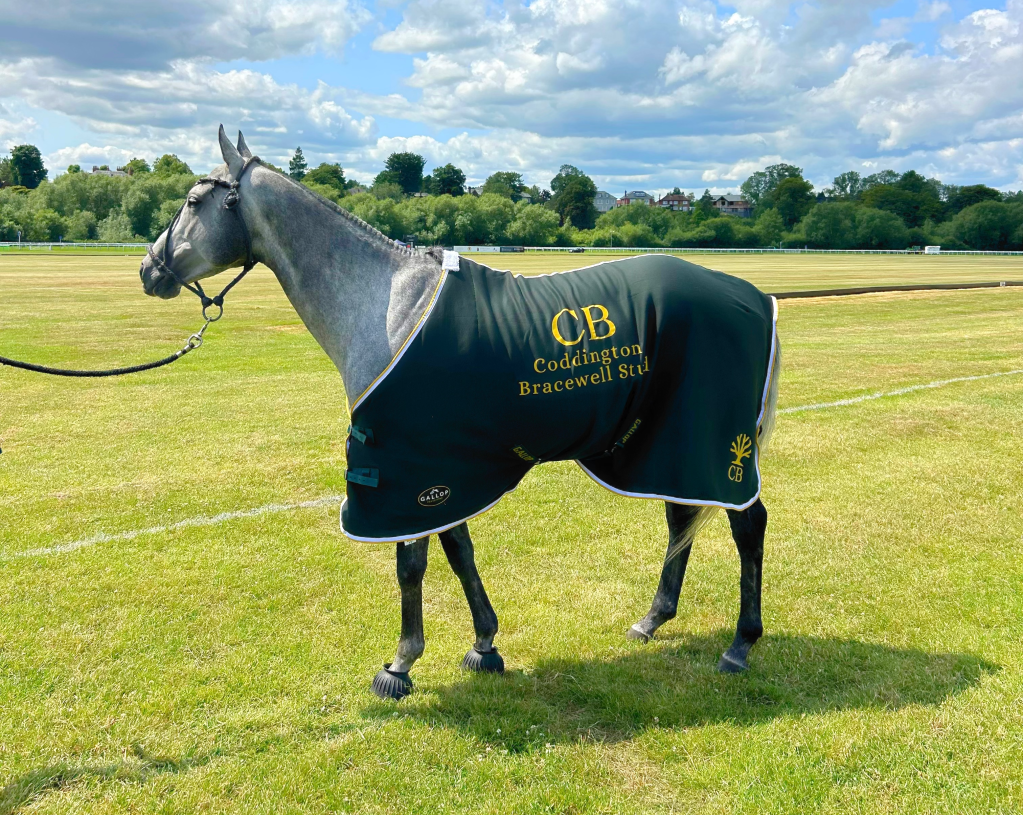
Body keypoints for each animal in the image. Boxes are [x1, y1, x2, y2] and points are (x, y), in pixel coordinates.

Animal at [140, 127, 781, 700]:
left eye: (194, 202)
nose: (149, 269)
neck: (388, 305)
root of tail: (755, 295)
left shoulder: (403, 469)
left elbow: (412, 563)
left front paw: (400, 664)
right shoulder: (441, 470)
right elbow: (457, 552)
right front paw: (484, 645)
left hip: (716, 443)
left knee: (747, 523)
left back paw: (740, 645)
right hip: (664, 445)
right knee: (681, 517)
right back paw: (653, 619)